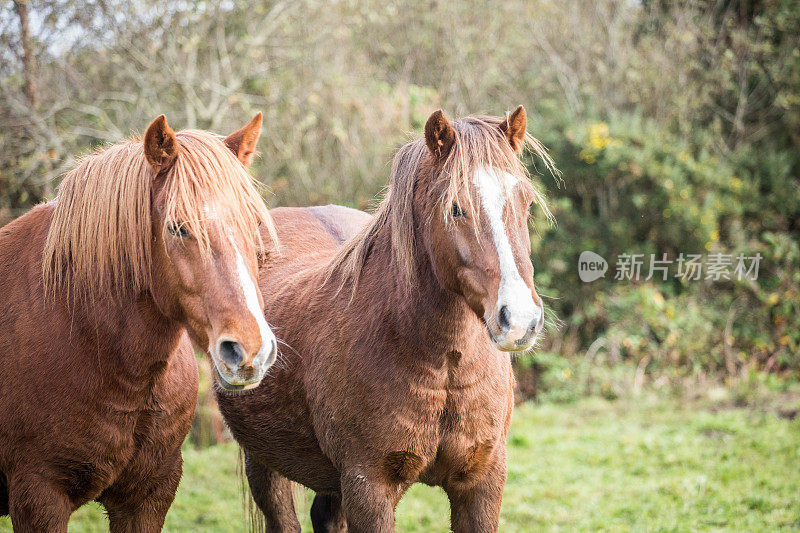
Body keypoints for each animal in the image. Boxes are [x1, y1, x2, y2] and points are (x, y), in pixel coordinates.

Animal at [216, 106, 560, 528]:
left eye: (526, 203)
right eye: (456, 207)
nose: (520, 320)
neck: (442, 364)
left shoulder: (482, 481)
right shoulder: (369, 487)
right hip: (267, 466)